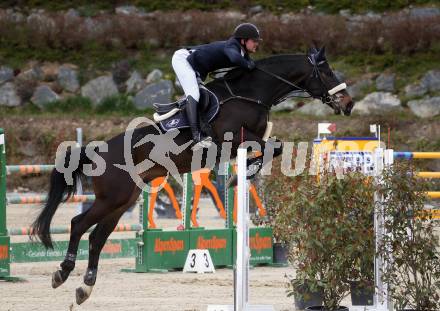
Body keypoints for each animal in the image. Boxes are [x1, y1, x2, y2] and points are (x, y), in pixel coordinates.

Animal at [30, 47, 354, 306]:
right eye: (326, 71)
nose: (348, 103)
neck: (251, 93)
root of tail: (97, 150)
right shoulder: (232, 138)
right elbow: (271, 147)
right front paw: (241, 175)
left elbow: (273, 148)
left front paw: (244, 174)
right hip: (113, 198)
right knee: (78, 224)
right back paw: (62, 272)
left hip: (122, 202)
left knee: (97, 237)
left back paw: (85, 288)